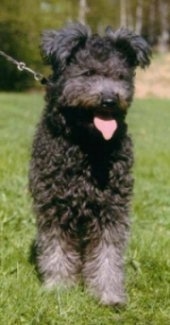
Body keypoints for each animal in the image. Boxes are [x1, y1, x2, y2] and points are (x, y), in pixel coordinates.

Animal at [29, 22, 151, 304]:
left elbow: (108, 254)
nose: (109, 100)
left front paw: (109, 295)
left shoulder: (111, 208)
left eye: (120, 76)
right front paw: (59, 288)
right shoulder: (53, 206)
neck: (86, 146)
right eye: (88, 73)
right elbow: (57, 249)